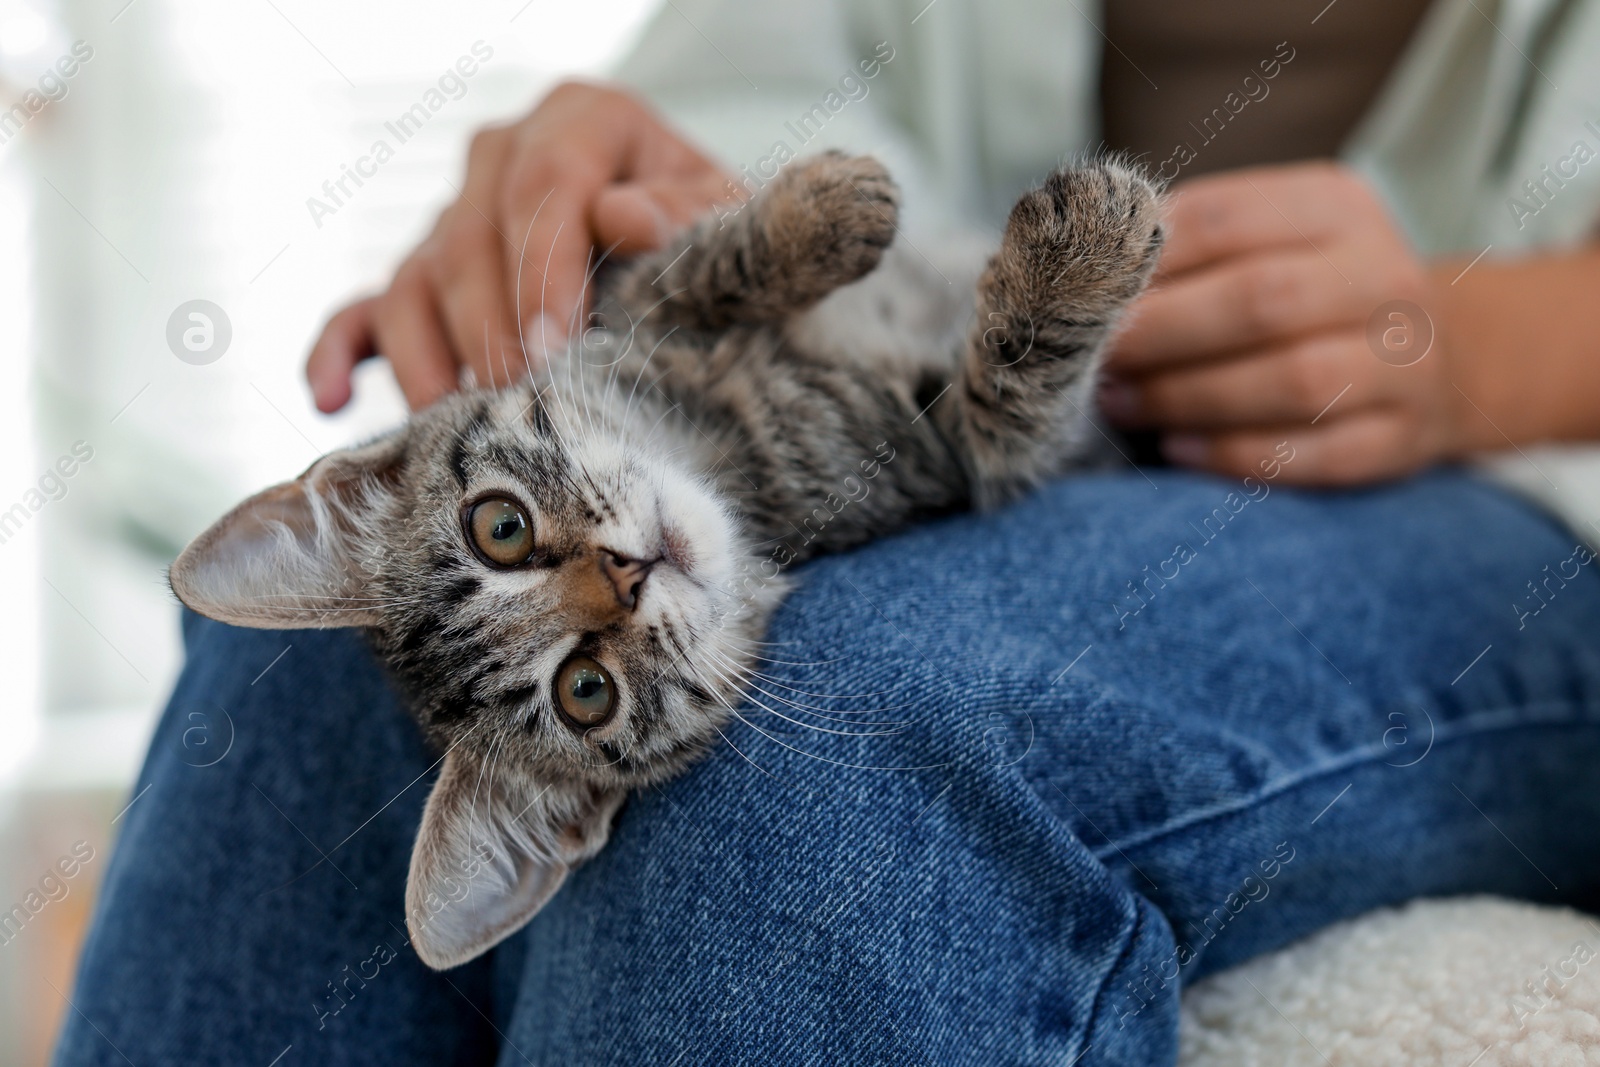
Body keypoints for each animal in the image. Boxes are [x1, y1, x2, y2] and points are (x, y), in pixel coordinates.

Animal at [168, 154, 1164, 972]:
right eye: (586, 691)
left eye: (499, 527)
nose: (627, 570)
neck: (731, 453)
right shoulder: (969, 461)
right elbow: (1017, 389)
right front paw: (1083, 257)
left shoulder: (633, 308)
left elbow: (687, 269)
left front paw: (824, 207)